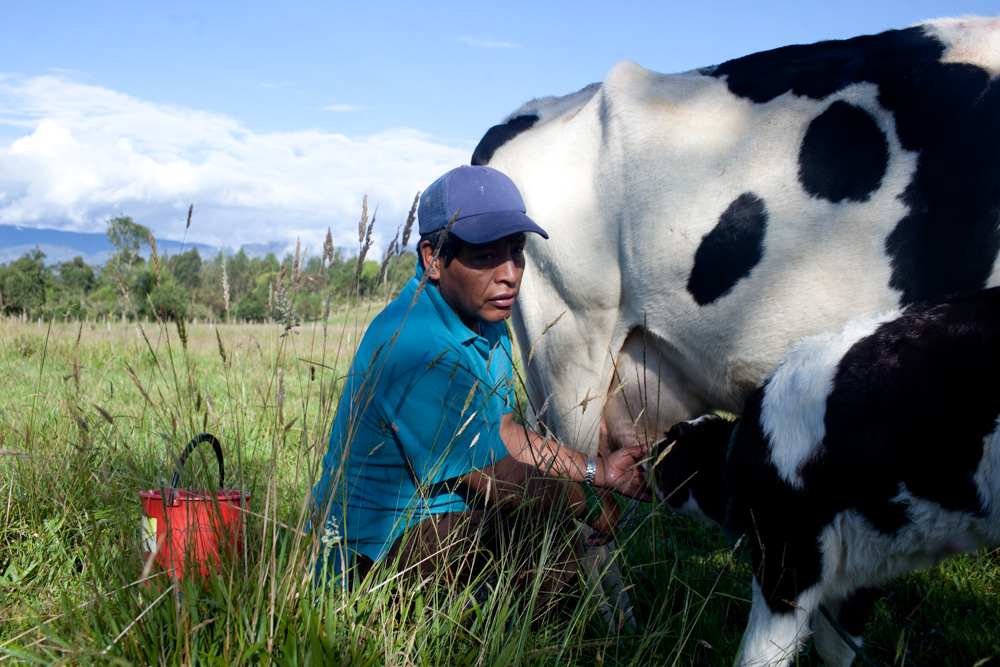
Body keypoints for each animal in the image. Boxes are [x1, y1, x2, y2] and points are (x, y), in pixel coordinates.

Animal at [652, 288, 1000, 667]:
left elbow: (763, 652)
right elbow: (838, 645)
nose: (649, 456)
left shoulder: (788, 553)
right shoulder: (857, 564)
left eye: (673, 442)